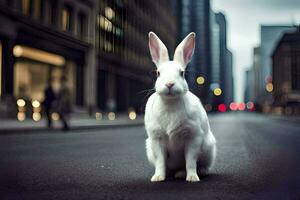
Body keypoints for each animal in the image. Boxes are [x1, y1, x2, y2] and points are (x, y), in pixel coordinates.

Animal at [144, 31, 216, 183]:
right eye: (158, 73)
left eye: (181, 73)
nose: (169, 84)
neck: (170, 103)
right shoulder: (157, 139)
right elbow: (160, 161)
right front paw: (157, 178)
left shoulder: (193, 137)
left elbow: (190, 161)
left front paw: (192, 178)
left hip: (209, 148)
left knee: (200, 165)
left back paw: (189, 173)